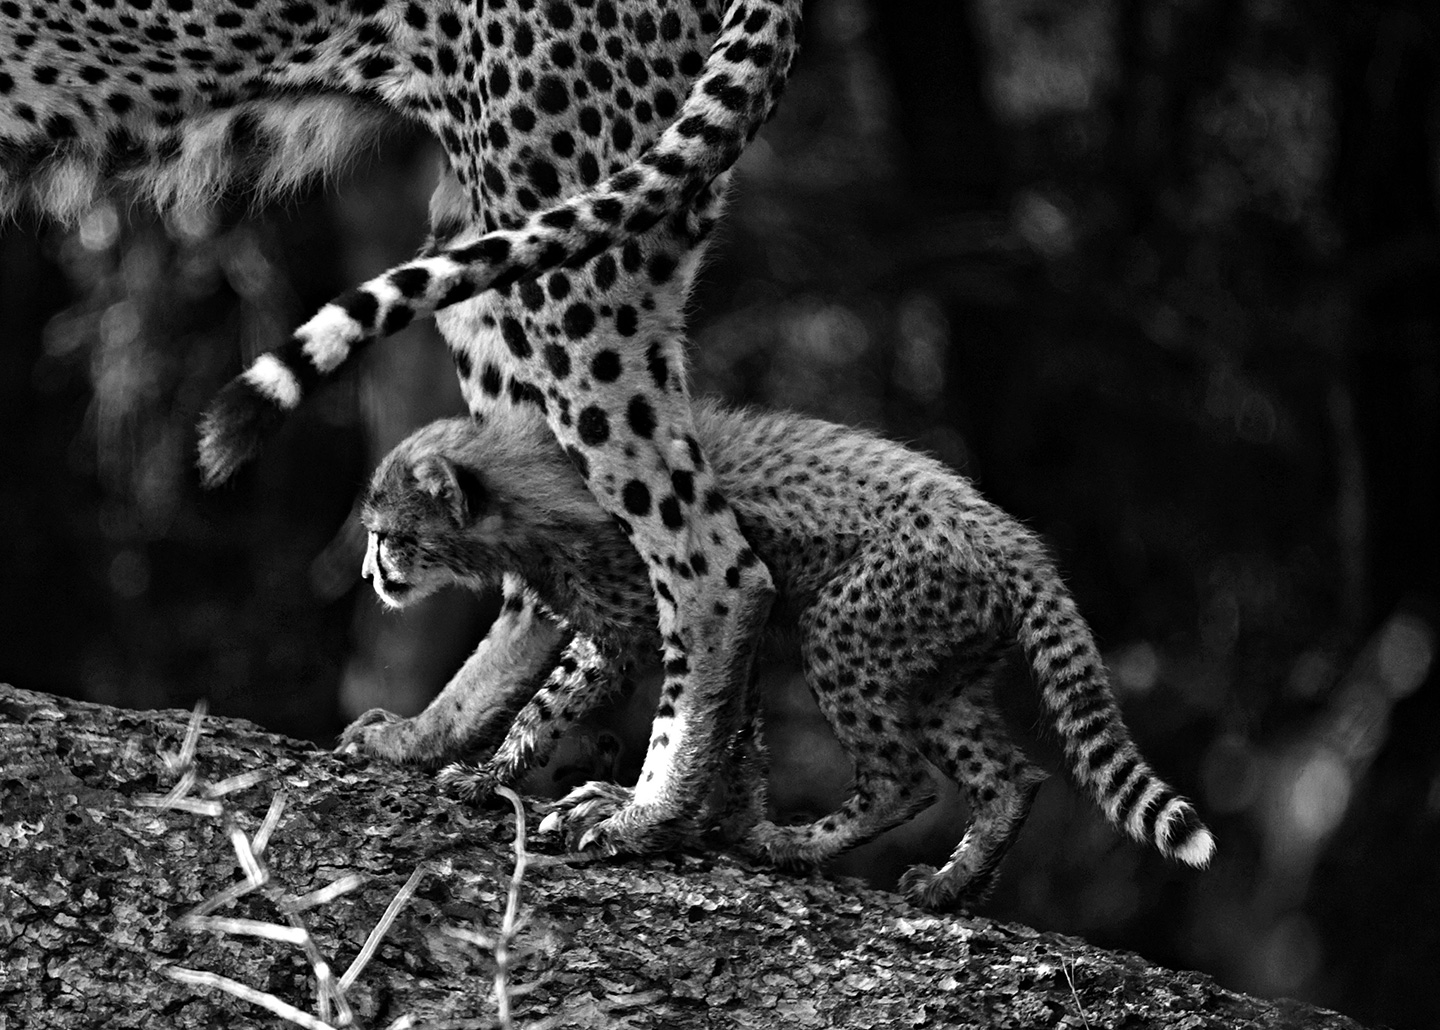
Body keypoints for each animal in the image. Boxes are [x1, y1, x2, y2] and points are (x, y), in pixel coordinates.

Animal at [1, 0, 807, 854]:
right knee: (539, 537)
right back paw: (436, 740)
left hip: (569, 252)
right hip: (485, 250)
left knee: (712, 562)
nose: (370, 568)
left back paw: (648, 812)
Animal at [348, 402, 1217, 909]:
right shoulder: (652, 623)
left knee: (901, 780)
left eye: (387, 535)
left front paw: (637, 822)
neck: (526, 488)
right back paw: (949, 882)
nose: (368, 575)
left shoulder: (708, 600)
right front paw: (415, 745)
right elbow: (717, 733)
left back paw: (798, 844)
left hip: (847, 630)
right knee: (1011, 775)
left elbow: (654, 722)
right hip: (941, 674)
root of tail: (1015, 538)